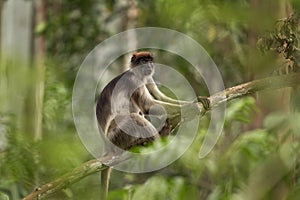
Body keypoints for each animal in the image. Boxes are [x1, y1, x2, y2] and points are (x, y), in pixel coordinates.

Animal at [96, 51, 209, 198]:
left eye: (150, 61)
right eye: (143, 61)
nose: (149, 65)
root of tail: (107, 146)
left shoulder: (147, 78)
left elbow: (159, 97)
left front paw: (196, 100)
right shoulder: (134, 81)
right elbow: (148, 105)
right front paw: (190, 107)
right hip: (116, 135)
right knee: (135, 117)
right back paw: (156, 140)